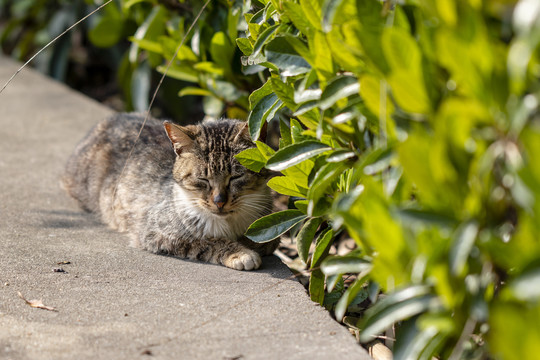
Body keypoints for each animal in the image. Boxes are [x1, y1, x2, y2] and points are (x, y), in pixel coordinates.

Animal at [62, 113, 278, 270]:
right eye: (202, 179)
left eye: (235, 177)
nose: (219, 201)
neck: (230, 223)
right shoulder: (158, 233)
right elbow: (209, 241)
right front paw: (241, 253)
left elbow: (267, 242)